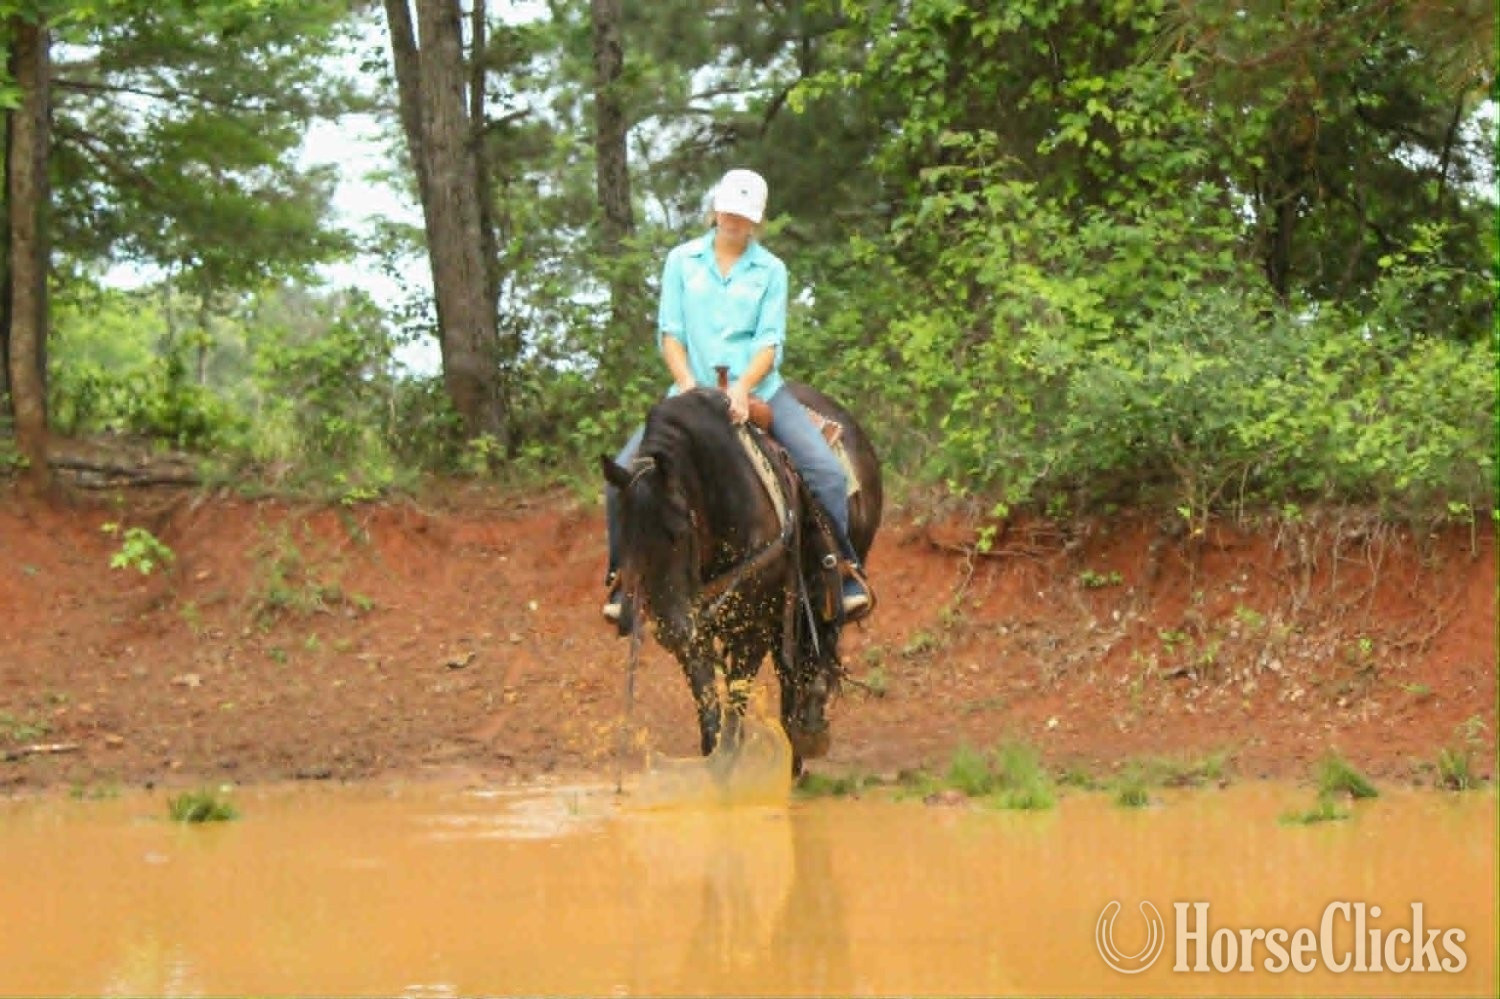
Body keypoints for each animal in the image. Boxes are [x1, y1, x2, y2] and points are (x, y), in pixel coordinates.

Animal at [600, 382, 882, 773]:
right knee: (790, 671)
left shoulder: (752, 628)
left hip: (819, 593)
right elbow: (711, 722)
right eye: (626, 537)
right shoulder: (697, 633)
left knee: (813, 655)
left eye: (679, 532)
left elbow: (733, 721)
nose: (671, 630)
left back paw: (806, 735)